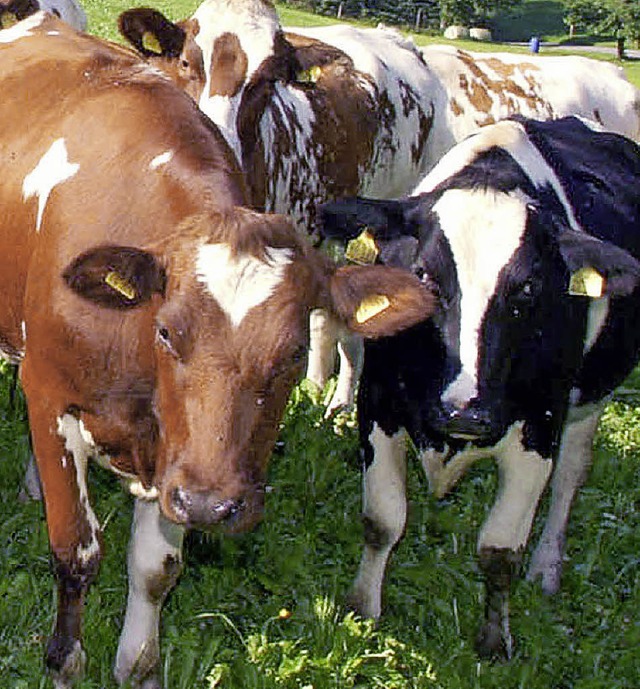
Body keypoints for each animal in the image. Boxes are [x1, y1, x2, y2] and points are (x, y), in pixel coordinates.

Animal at [1, 13, 436, 684]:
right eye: (165, 332)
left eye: (292, 355)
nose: (211, 505)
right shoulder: (50, 396)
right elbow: (75, 551)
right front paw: (64, 662)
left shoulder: (178, 456)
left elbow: (155, 570)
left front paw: (139, 664)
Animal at [318, 117, 640, 656]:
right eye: (424, 275)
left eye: (528, 289)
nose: (465, 412)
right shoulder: (379, 405)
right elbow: (383, 520)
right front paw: (363, 608)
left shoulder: (539, 431)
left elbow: (500, 550)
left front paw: (494, 639)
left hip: (587, 405)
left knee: (570, 478)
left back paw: (547, 567)